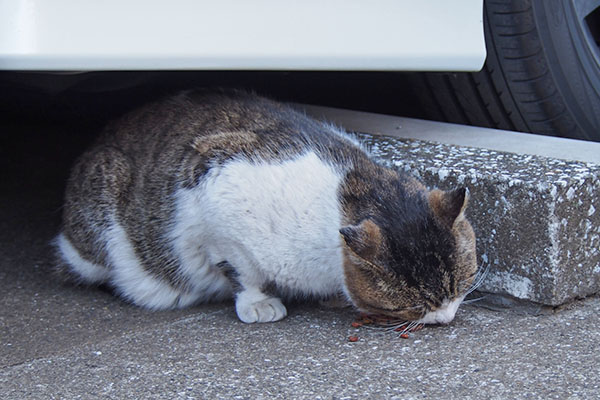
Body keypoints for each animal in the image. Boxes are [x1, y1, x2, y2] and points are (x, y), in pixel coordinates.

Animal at [55, 88, 478, 324]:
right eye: (415, 305)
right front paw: (259, 303)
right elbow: (240, 270)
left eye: (460, 285)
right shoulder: (213, 192)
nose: (446, 317)